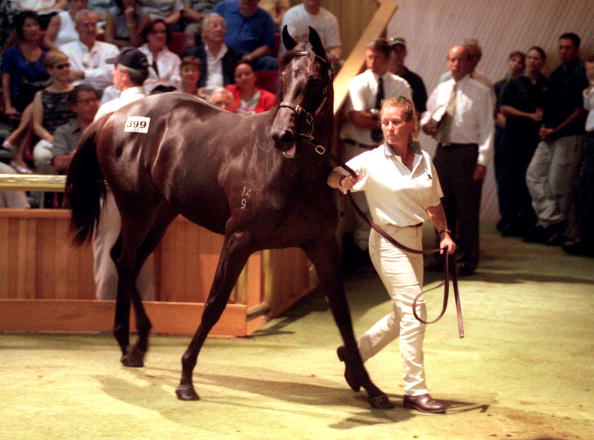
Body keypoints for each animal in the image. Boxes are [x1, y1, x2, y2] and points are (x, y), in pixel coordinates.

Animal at [66, 28, 388, 410]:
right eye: (283, 77)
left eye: (314, 80)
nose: (282, 135)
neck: (290, 170)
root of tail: (114, 117)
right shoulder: (238, 239)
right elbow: (214, 304)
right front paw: (185, 379)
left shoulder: (321, 244)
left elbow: (341, 312)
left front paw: (371, 387)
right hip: (137, 209)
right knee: (126, 260)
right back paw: (130, 342)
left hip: (161, 213)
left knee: (126, 260)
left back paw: (134, 345)